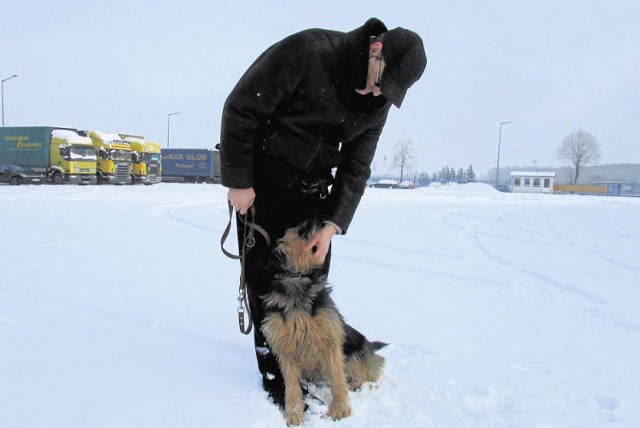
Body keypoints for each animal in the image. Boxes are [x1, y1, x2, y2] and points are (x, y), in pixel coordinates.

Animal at [260, 219, 384, 426]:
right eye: (301, 231)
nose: (318, 220)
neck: (296, 280)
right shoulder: (284, 347)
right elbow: (291, 386)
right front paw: (294, 414)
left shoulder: (330, 340)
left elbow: (337, 378)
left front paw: (340, 410)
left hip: (355, 353)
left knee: (372, 373)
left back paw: (358, 383)